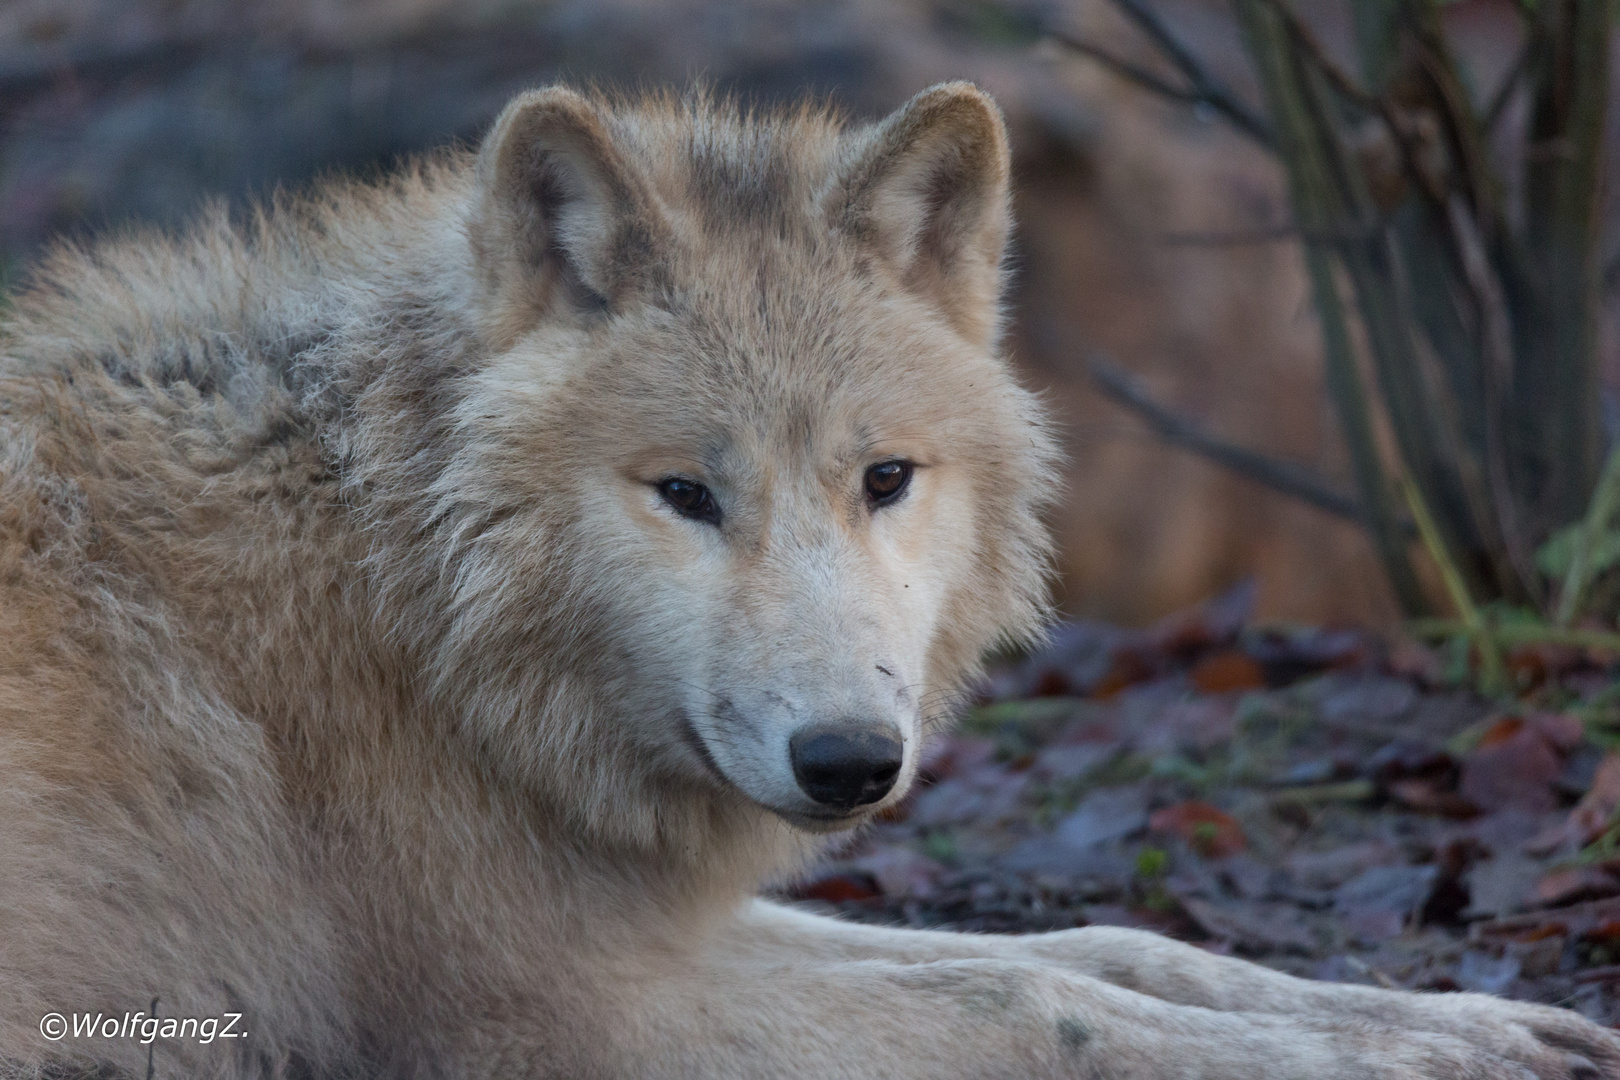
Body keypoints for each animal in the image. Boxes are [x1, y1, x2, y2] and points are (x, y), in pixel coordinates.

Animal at [0, 80, 1613, 1075]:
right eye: (686, 494)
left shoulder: (635, 931)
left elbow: (1098, 945)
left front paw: (1465, 1025)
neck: (396, 588)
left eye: (884, 478)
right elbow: (1038, 1000)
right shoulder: (556, 1022)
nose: (849, 761)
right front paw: (1415, 1057)